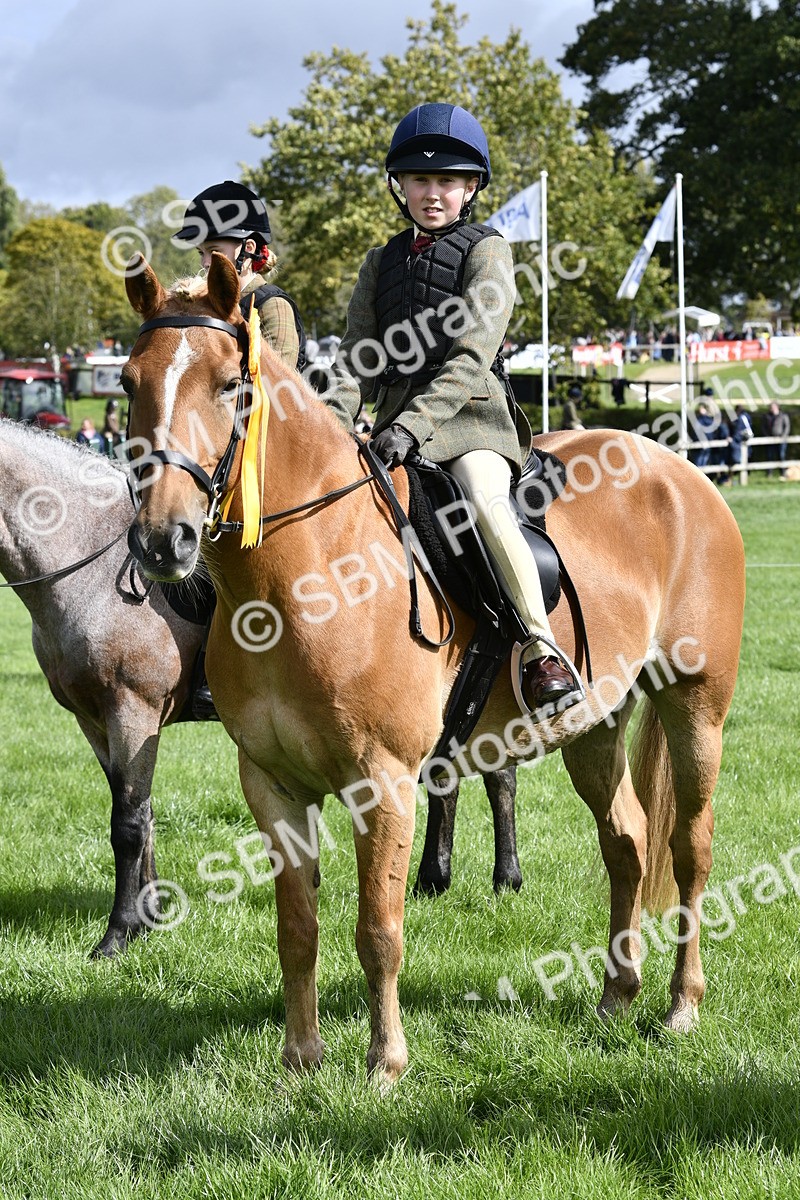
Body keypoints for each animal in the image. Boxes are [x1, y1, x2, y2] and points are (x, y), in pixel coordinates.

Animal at [0, 422, 518, 957]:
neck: (94, 573)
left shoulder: (132, 712)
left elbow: (128, 823)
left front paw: (120, 932)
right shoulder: (94, 720)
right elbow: (142, 814)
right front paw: (151, 914)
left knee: (497, 777)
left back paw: (503, 878)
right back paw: (436, 880)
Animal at [124, 253, 745, 1083]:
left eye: (232, 385)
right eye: (129, 382)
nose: (164, 539)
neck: (301, 579)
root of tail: (677, 468)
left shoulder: (383, 782)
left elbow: (378, 930)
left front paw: (385, 1064)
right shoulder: (273, 785)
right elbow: (298, 929)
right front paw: (300, 1060)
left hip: (695, 708)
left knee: (688, 850)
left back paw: (682, 1006)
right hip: (594, 724)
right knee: (628, 844)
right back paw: (617, 996)